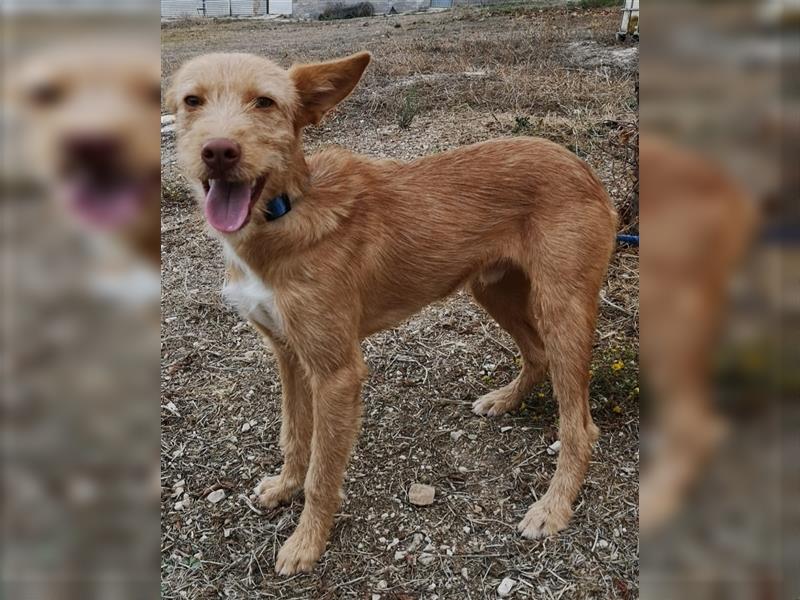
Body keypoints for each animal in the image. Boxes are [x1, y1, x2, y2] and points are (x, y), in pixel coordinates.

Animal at [167, 52, 620, 576]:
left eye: (265, 102)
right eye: (191, 101)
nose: (219, 151)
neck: (285, 210)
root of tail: (582, 166)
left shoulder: (337, 372)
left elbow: (323, 470)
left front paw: (306, 542)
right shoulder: (288, 354)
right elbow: (294, 434)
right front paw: (284, 486)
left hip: (561, 308)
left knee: (580, 426)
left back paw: (553, 506)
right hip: (493, 290)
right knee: (536, 354)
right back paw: (505, 400)